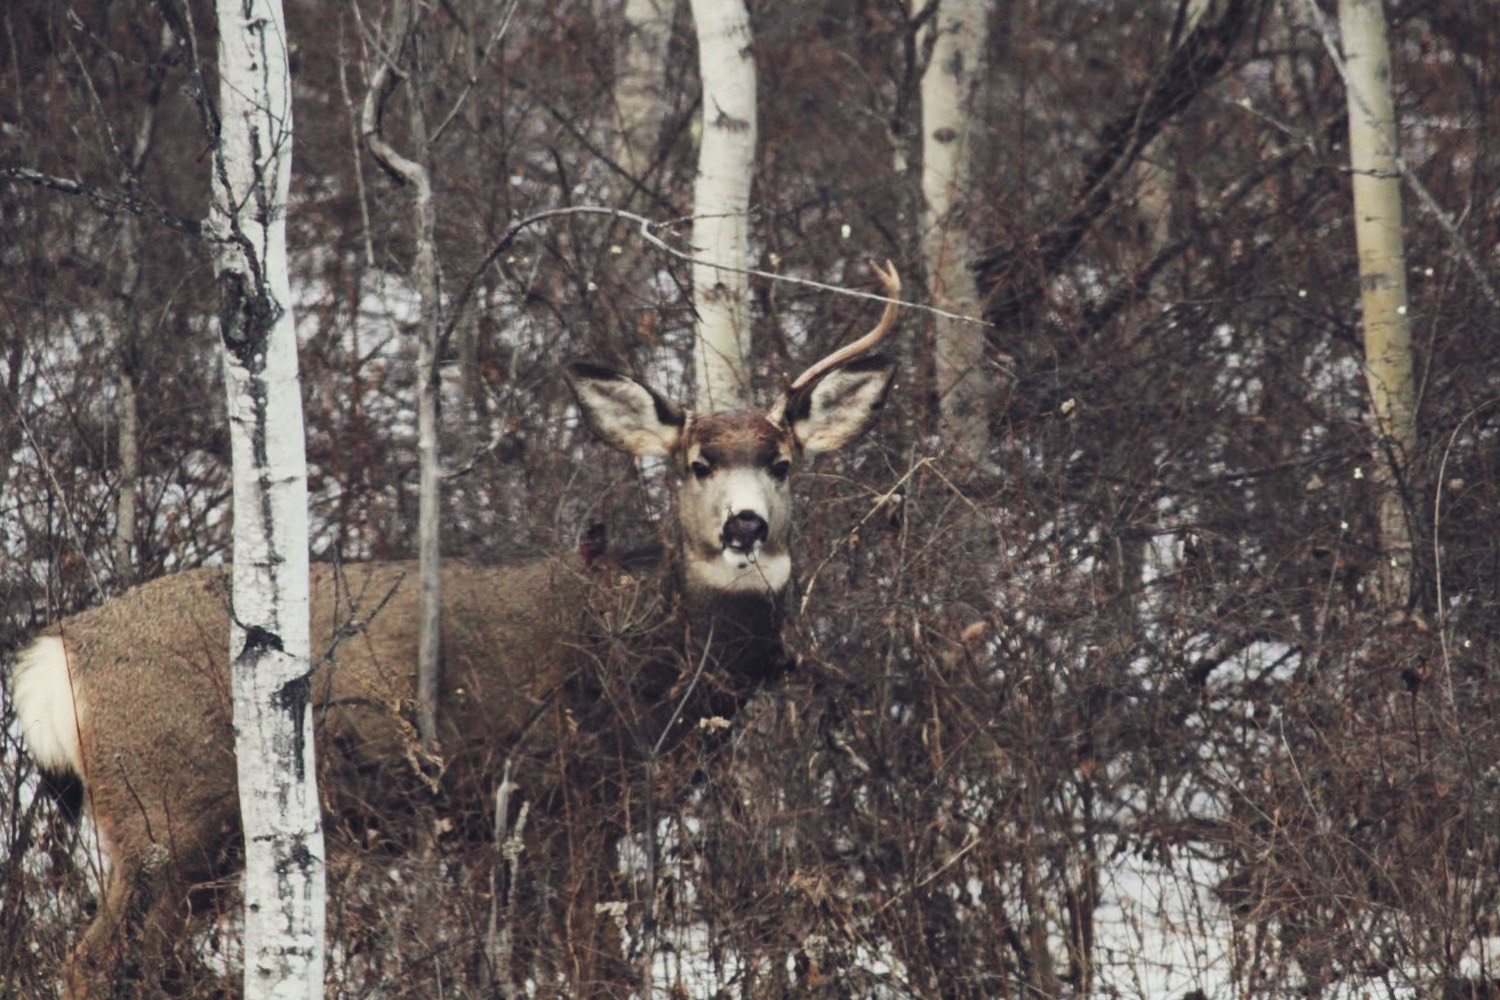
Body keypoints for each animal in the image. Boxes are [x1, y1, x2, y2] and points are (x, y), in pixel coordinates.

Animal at [8, 262, 900, 995]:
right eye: (696, 465)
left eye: (782, 462)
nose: (746, 526)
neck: (653, 665)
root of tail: (56, 652)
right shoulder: (562, 795)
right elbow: (594, 965)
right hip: (167, 812)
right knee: (94, 965)